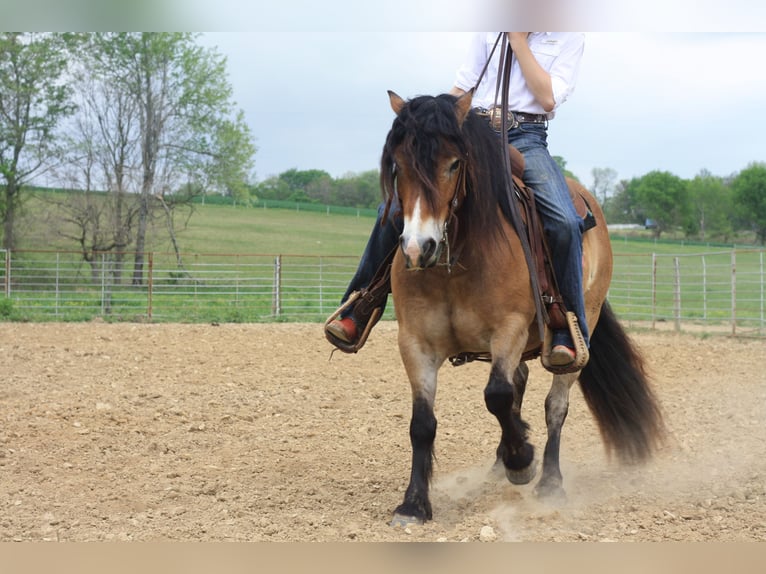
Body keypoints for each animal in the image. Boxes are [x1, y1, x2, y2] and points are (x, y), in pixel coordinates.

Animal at [381, 90, 665, 526]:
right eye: (398, 165)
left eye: (454, 163)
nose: (417, 248)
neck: (457, 261)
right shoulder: (415, 343)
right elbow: (422, 423)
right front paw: (413, 504)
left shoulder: (509, 329)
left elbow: (496, 395)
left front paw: (522, 461)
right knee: (521, 382)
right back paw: (500, 462)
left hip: (578, 332)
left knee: (554, 405)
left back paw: (548, 481)